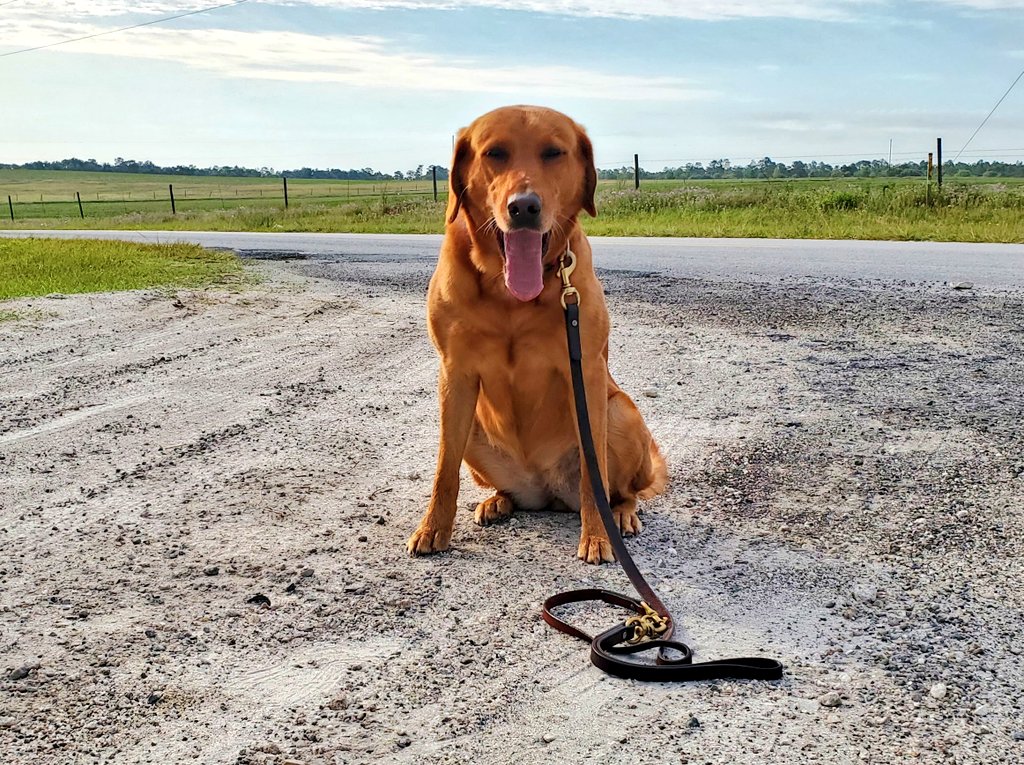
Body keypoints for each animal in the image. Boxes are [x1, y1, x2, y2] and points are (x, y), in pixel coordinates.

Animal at [403, 105, 667, 561]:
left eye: (553, 152)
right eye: (494, 153)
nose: (524, 207)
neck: (508, 293)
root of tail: (546, 492)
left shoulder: (587, 373)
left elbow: (594, 475)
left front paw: (597, 535)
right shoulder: (454, 374)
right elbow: (444, 468)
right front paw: (433, 528)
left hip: (620, 412)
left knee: (618, 488)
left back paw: (620, 514)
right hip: (473, 428)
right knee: (499, 483)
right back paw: (498, 501)